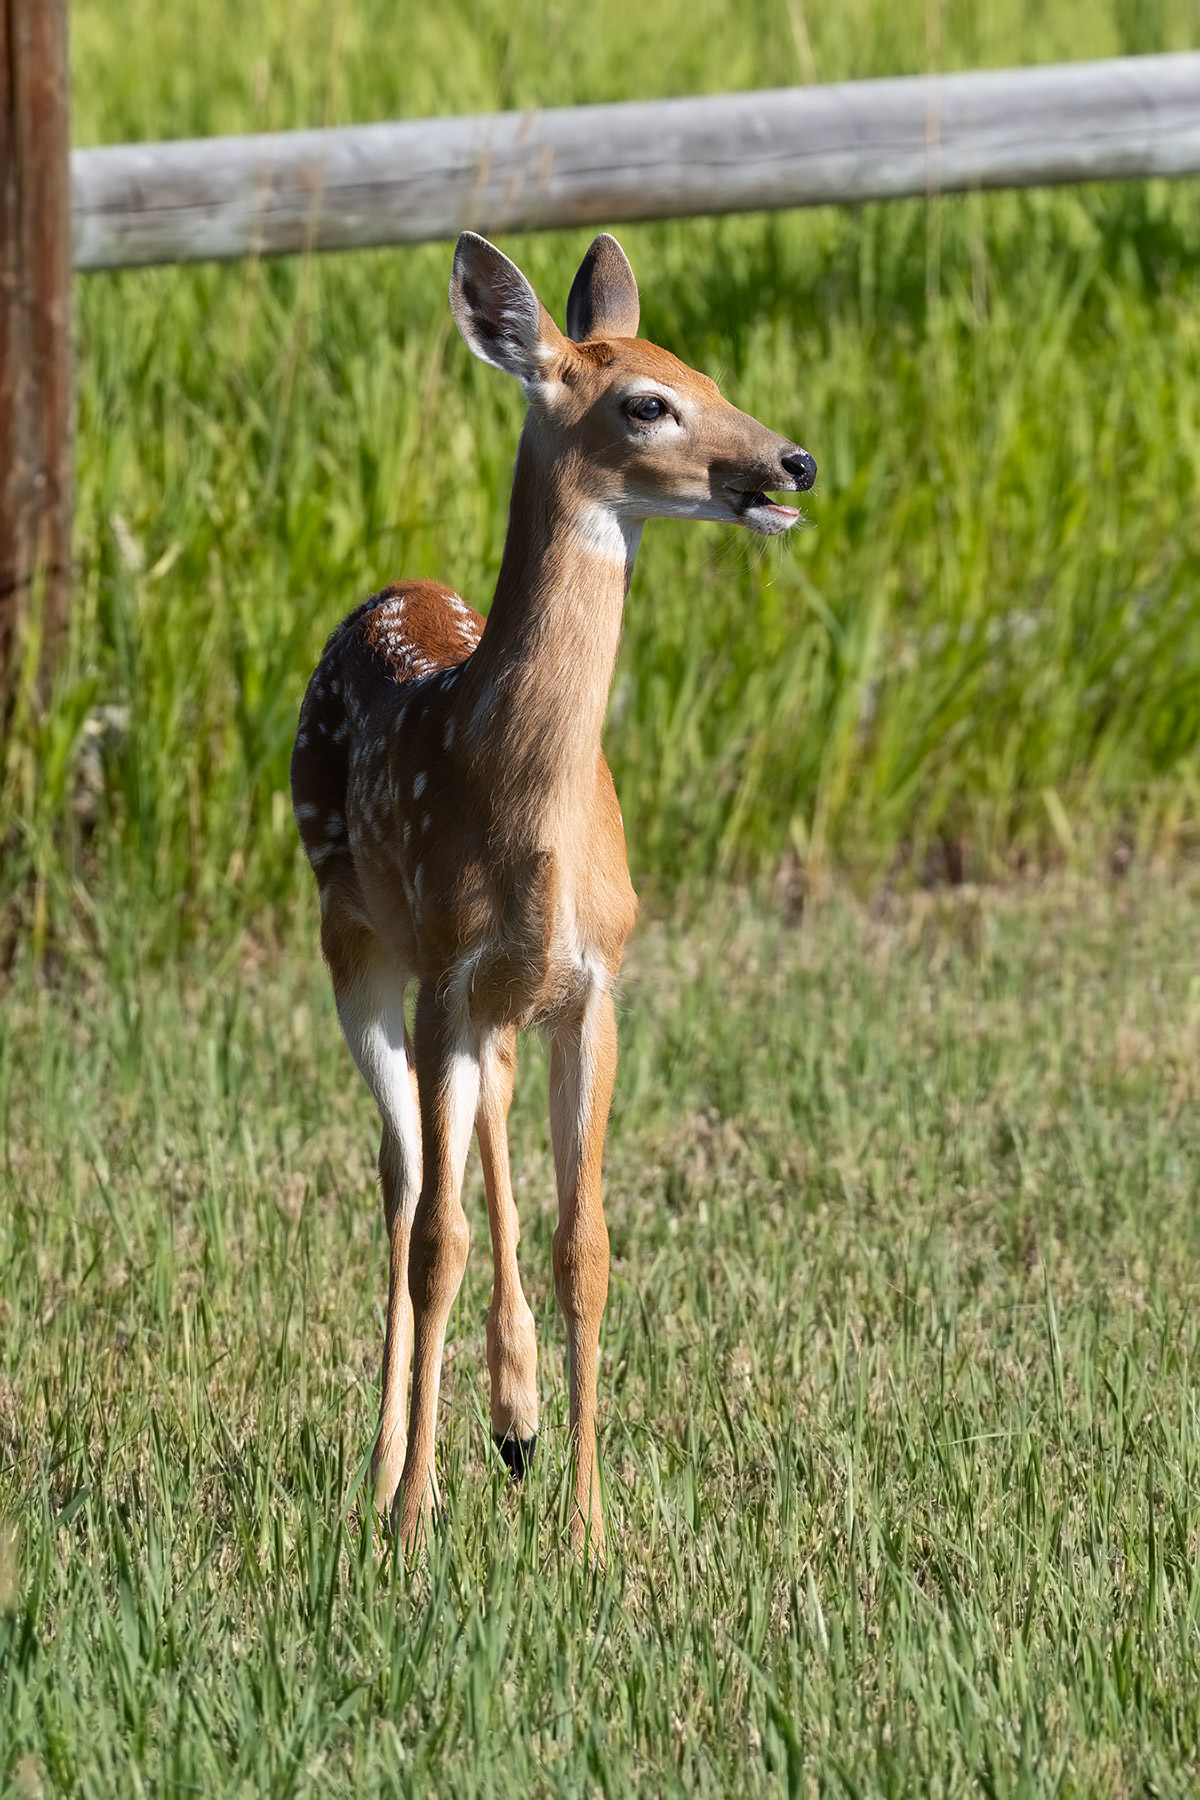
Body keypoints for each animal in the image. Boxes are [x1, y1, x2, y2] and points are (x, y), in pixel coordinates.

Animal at [290, 230, 816, 1560]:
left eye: (707, 369)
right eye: (645, 402)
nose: (792, 460)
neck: (528, 810)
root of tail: (397, 587)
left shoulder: (596, 985)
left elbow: (589, 1245)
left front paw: (584, 1526)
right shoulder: (441, 976)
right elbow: (437, 1238)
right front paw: (411, 1516)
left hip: (496, 1004)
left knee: (485, 1132)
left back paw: (516, 1418)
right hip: (356, 940)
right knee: (403, 1179)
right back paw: (392, 1461)